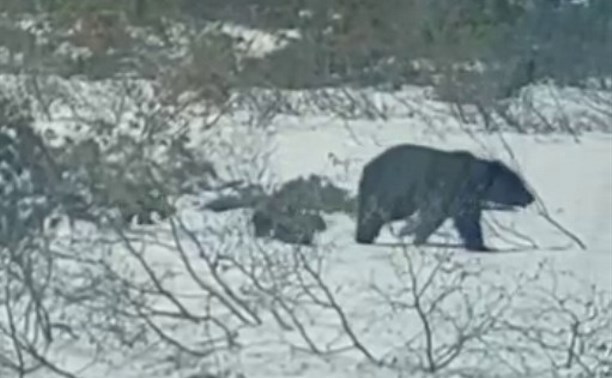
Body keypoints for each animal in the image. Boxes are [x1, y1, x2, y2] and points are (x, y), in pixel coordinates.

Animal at [354, 144, 536, 251]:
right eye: (518, 184)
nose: (531, 197)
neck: (476, 181)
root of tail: (367, 168)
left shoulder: (467, 198)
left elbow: (458, 218)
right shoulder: (451, 189)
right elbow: (452, 217)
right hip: (394, 187)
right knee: (378, 210)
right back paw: (365, 234)